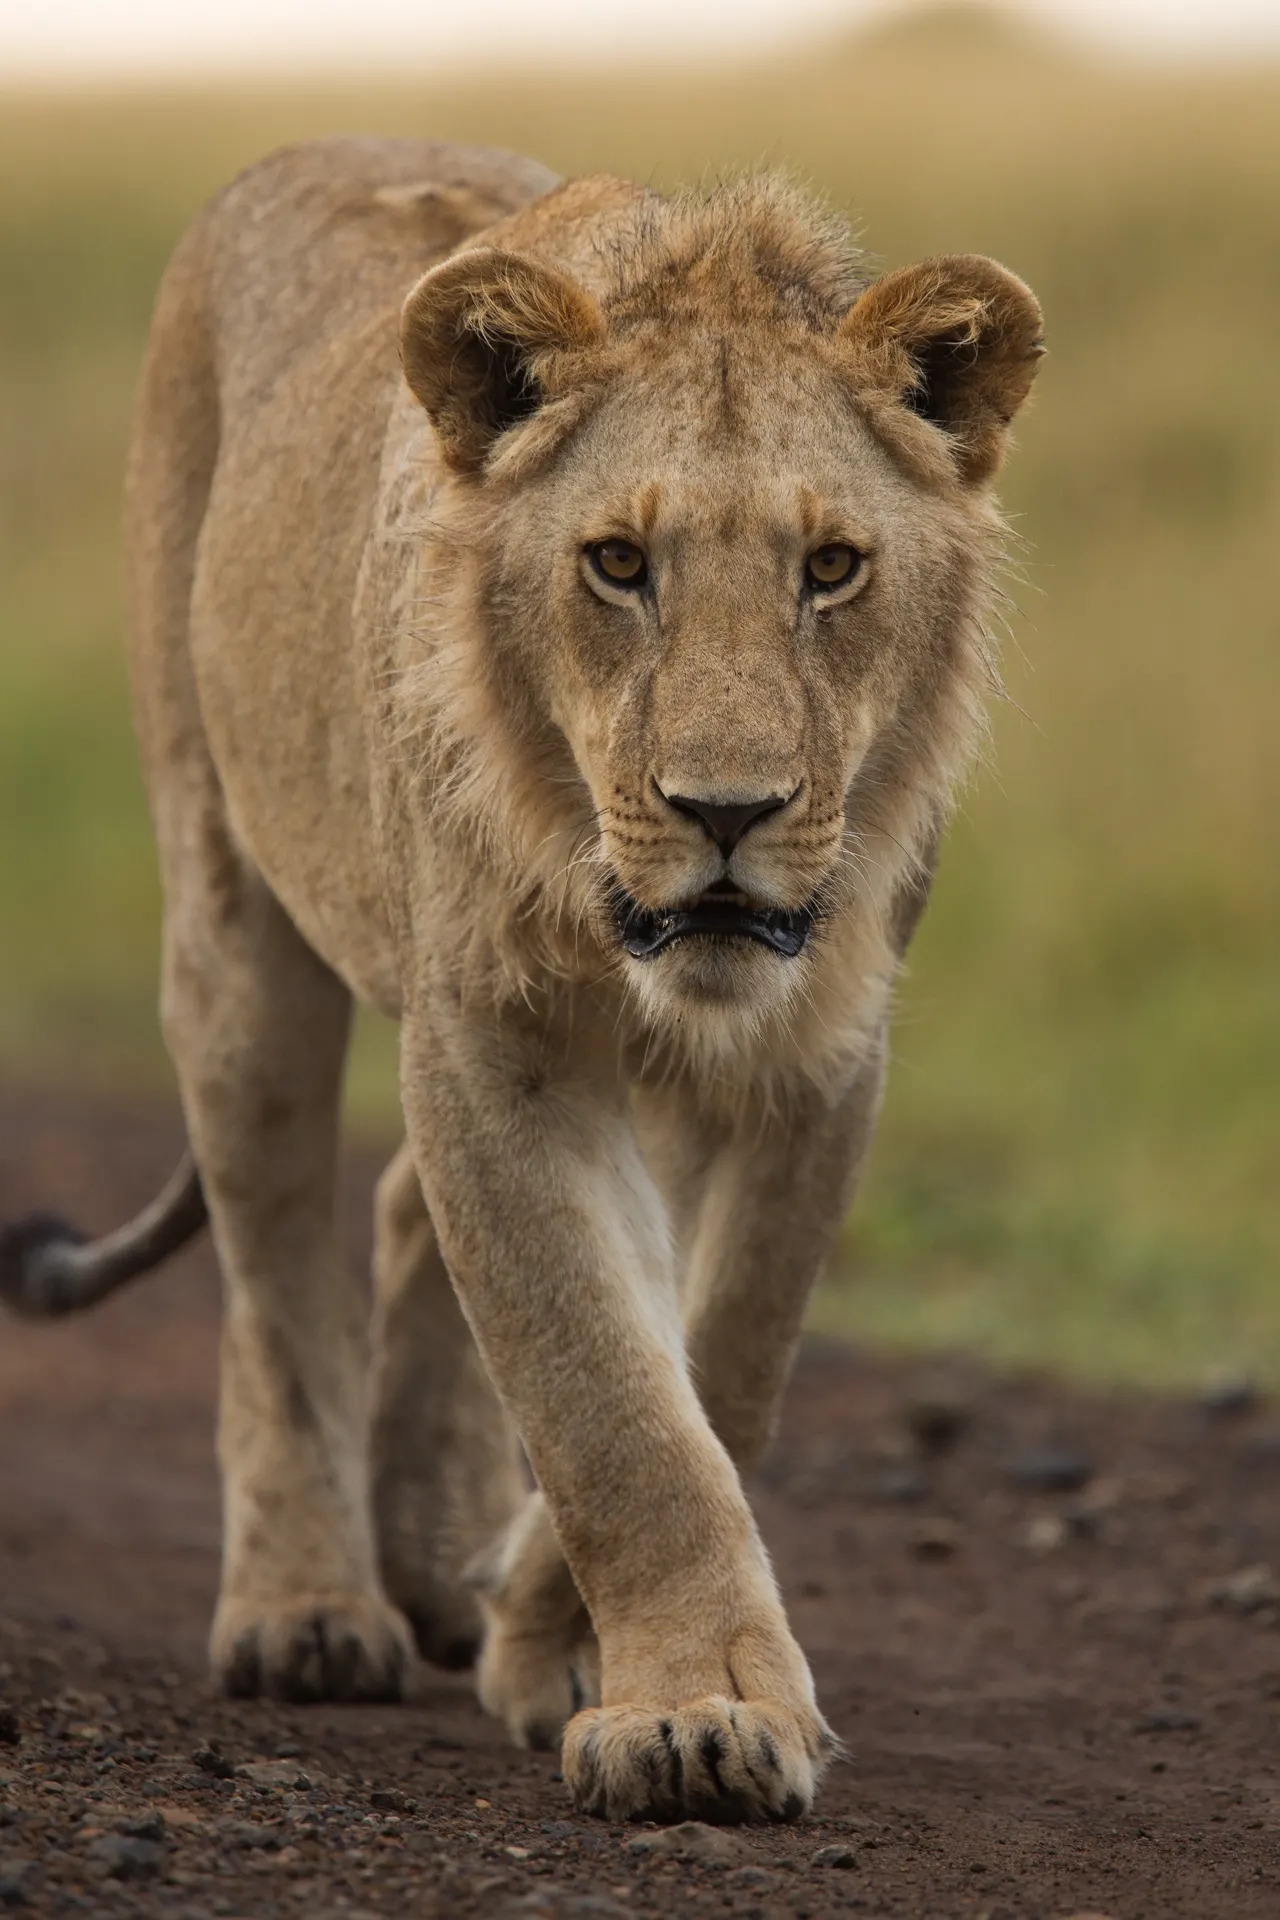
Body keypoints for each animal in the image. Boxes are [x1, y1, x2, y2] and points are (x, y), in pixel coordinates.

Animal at [0, 131, 1043, 1812]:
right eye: (618, 563)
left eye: (832, 568)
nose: (729, 813)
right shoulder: (494, 1042)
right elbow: (606, 1392)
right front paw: (693, 1715)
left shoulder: (818, 1061)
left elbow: (714, 1370)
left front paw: (571, 1652)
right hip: (230, 917)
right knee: (277, 1259)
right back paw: (311, 1612)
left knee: (392, 1208)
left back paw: (439, 1566)